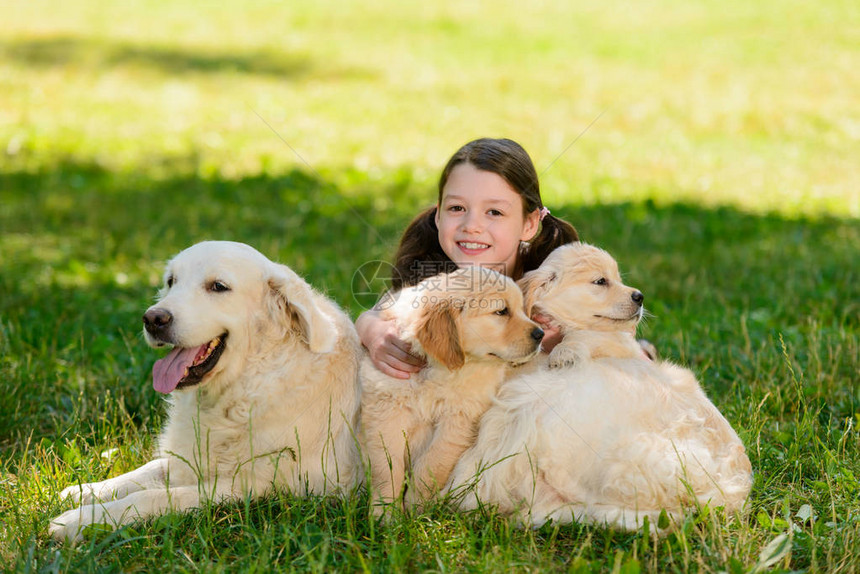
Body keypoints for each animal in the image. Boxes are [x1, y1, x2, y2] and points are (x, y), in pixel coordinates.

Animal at [51, 240, 360, 544]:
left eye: (218, 286)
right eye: (171, 281)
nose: (152, 319)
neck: (251, 381)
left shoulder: (255, 485)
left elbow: (154, 496)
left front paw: (81, 520)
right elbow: (148, 469)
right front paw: (86, 490)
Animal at [360, 268, 540, 516]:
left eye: (523, 309)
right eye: (501, 311)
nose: (541, 334)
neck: (439, 369)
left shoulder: (459, 419)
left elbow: (432, 463)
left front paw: (417, 509)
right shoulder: (385, 411)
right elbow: (386, 466)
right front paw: (384, 513)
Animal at [450, 243, 752, 536]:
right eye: (601, 281)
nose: (639, 297)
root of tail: (729, 494)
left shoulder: (614, 343)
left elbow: (590, 336)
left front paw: (565, 351)